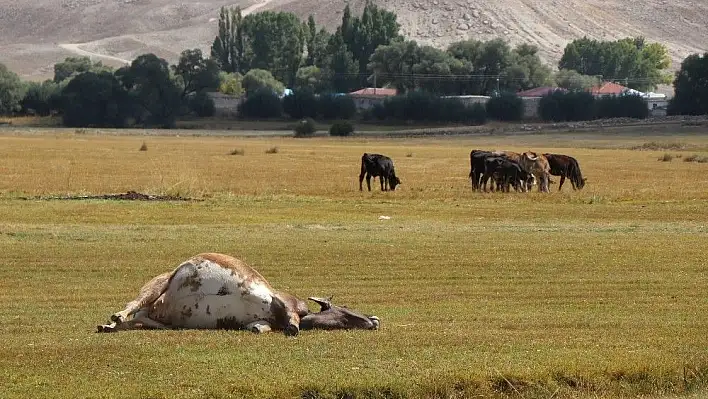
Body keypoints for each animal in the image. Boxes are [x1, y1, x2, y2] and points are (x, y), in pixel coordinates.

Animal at [98, 255, 382, 336]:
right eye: (345, 307)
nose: (375, 319)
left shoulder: (261, 320)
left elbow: (259, 328)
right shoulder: (283, 299)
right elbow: (292, 318)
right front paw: (293, 328)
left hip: (156, 318)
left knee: (137, 319)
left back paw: (109, 326)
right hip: (159, 283)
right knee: (132, 305)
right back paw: (114, 318)